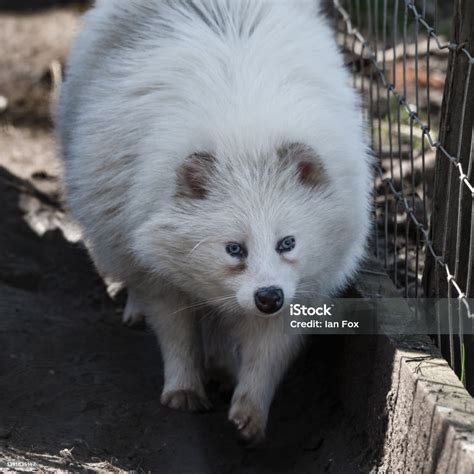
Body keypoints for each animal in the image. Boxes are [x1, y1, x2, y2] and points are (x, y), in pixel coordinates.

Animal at [58, 0, 370, 444]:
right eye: (234, 249)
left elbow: (265, 355)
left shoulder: (301, 292)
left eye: (287, 243)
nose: (268, 298)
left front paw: (249, 410)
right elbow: (178, 333)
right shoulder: (159, 270)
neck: (244, 135)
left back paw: (223, 370)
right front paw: (184, 388)